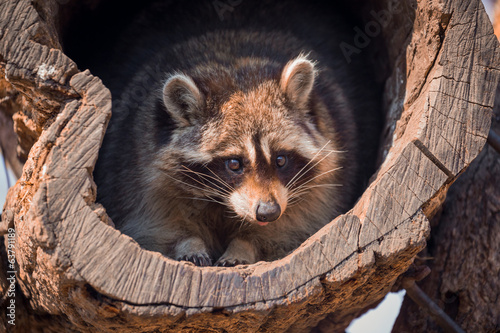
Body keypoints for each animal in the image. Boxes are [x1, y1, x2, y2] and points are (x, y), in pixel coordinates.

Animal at [93, 6, 378, 266]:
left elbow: (292, 226)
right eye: (234, 163)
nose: (267, 212)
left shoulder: (323, 184)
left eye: (281, 160)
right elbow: (156, 225)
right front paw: (189, 242)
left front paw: (244, 246)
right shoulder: (134, 165)